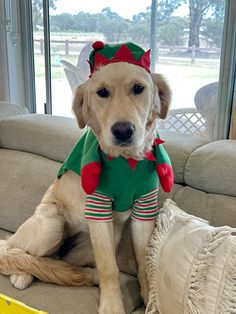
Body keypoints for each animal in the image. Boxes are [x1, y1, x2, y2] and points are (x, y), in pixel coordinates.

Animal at [0, 59, 171, 312]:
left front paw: (149, 297)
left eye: (138, 88)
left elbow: (143, 263)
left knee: (55, 261)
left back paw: (86, 275)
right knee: (17, 250)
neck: (126, 162)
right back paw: (21, 274)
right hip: (50, 226)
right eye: (102, 92)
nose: (123, 131)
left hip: (90, 246)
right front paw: (112, 305)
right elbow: (110, 268)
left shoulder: (144, 211)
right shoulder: (98, 212)